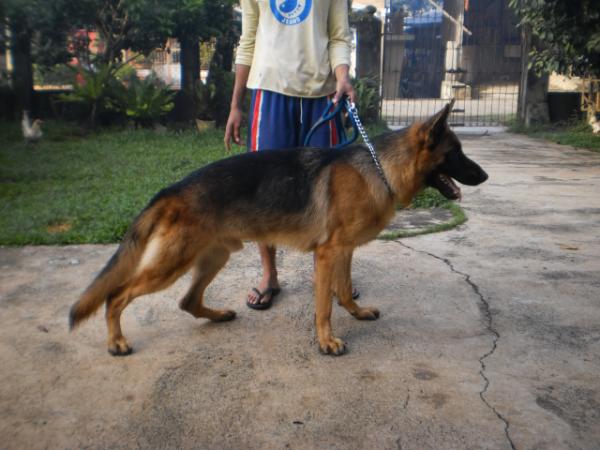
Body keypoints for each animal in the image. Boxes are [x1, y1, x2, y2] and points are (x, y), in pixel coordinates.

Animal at [69, 102, 488, 356]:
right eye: (455, 153)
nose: (484, 177)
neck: (379, 166)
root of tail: (171, 190)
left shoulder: (344, 251)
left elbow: (343, 292)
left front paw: (355, 313)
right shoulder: (328, 254)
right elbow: (324, 306)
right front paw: (326, 341)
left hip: (215, 256)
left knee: (186, 301)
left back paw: (217, 315)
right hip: (171, 265)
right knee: (116, 295)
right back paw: (117, 341)